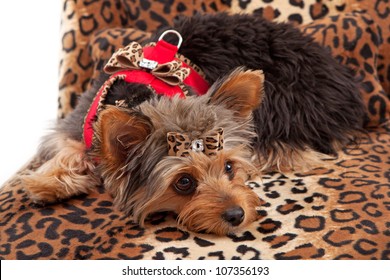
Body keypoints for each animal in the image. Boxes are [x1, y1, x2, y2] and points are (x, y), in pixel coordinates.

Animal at [22, 14, 366, 235]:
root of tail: (343, 79)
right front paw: (46, 183)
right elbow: (69, 148)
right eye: (183, 182)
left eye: (228, 167)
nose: (237, 214)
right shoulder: (77, 123)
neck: (134, 97)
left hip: (282, 102)